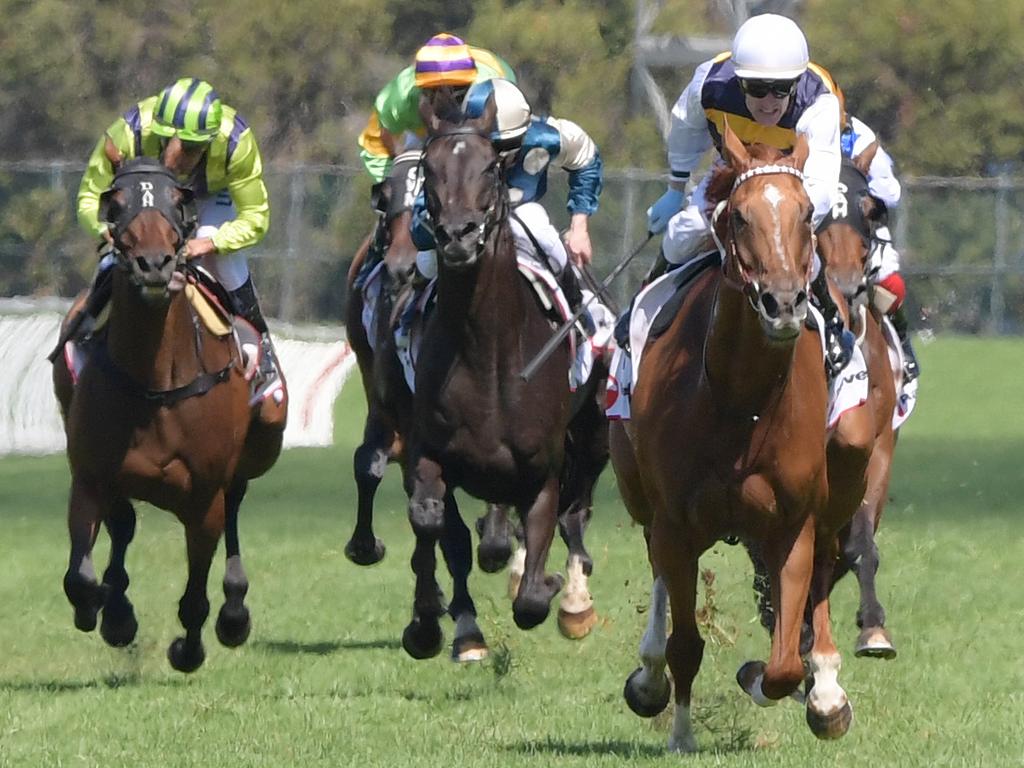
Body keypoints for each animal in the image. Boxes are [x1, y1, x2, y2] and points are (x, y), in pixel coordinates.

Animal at [52, 151, 284, 671]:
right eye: (115, 203)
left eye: (179, 203)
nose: (154, 265)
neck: (154, 381)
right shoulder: (92, 477)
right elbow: (81, 577)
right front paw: (106, 611)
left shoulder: (203, 496)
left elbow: (195, 596)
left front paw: (188, 649)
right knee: (123, 527)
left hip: (255, 449)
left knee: (234, 506)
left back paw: (234, 614)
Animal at [610, 124, 860, 753]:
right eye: (741, 217)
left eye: (806, 213)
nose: (784, 303)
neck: (741, 403)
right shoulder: (675, 522)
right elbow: (684, 643)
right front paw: (679, 732)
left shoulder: (791, 522)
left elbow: (782, 667)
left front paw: (775, 679)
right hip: (641, 498)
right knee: (657, 574)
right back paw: (648, 675)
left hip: (841, 481)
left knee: (826, 564)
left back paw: (826, 691)